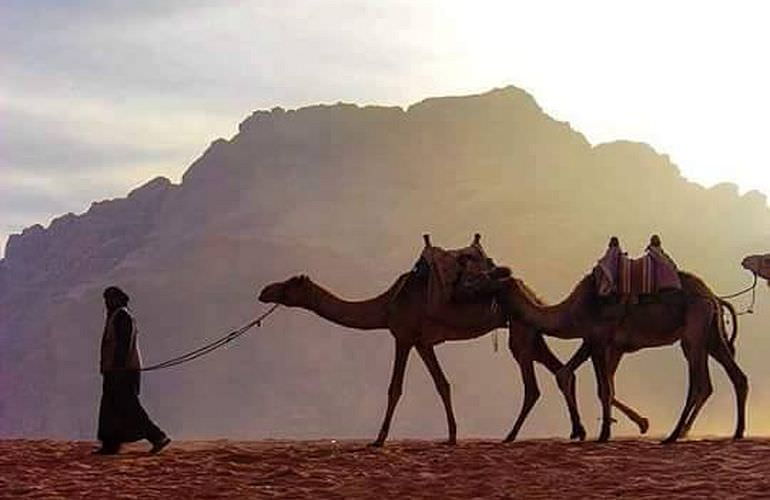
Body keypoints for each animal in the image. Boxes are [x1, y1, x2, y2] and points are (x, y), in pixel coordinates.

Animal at [256, 234, 648, 446]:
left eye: (289, 284)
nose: (264, 291)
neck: (387, 304)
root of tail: (531, 291)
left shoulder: (403, 335)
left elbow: (395, 388)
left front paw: (379, 440)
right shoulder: (423, 342)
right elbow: (442, 384)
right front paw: (453, 435)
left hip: (519, 334)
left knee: (537, 383)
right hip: (528, 330)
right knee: (559, 371)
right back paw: (585, 429)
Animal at [500, 270, 748, 442]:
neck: (573, 311)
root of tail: (713, 296)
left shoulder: (598, 339)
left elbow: (603, 388)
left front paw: (604, 434)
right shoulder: (610, 345)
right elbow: (591, 381)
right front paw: (628, 426)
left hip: (694, 332)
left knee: (697, 384)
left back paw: (673, 436)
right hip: (711, 334)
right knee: (732, 378)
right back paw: (735, 432)